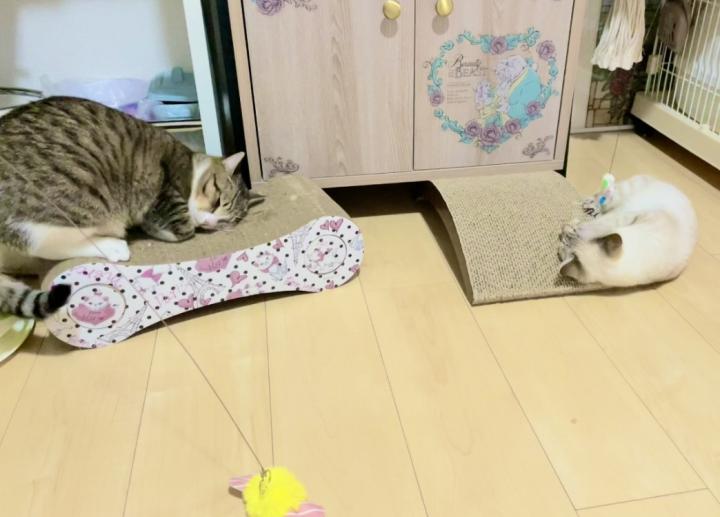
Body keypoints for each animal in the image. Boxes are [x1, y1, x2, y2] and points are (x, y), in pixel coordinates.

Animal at [0, 96, 263, 318]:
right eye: (217, 201)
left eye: (224, 222)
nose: (209, 223)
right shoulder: (166, 193)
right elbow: (182, 227)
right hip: (74, 204)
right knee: (42, 243)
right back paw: (114, 246)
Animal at [558, 175, 697, 287]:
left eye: (564, 246)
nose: (561, 233)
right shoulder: (630, 216)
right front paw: (571, 226)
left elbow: (592, 227)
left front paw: (570, 228)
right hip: (621, 196)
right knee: (601, 197)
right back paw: (590, 203)